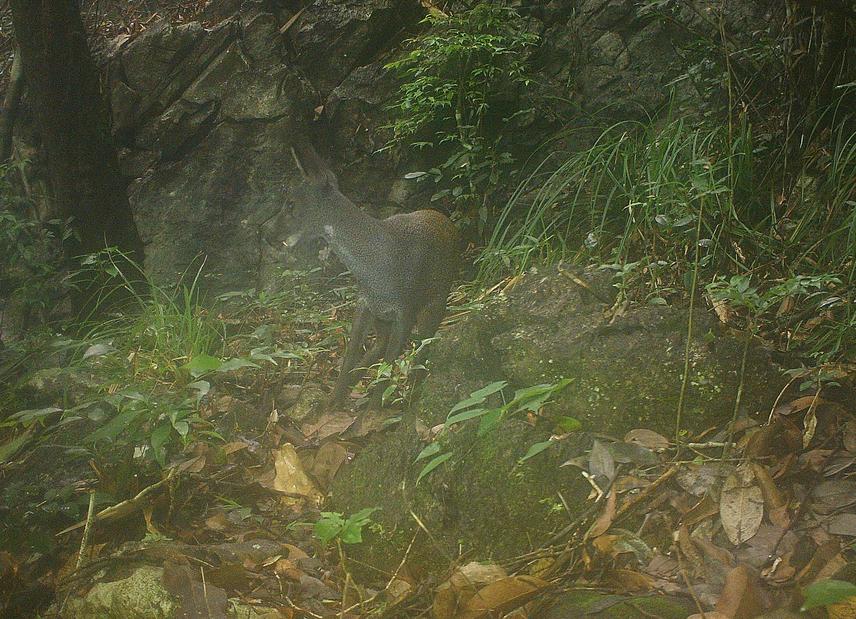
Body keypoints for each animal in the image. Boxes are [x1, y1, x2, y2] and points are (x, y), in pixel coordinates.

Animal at [264, 145, 462, 406]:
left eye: (290, 203)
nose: (266, 232)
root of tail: (447, 222)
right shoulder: (365, 303)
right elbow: (350, 357)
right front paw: (331, 402)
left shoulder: (406, 308)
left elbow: (388, 370)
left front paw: (372, 410)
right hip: (383, 316)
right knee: (382, 343)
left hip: (437, 299)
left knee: (423, 346)